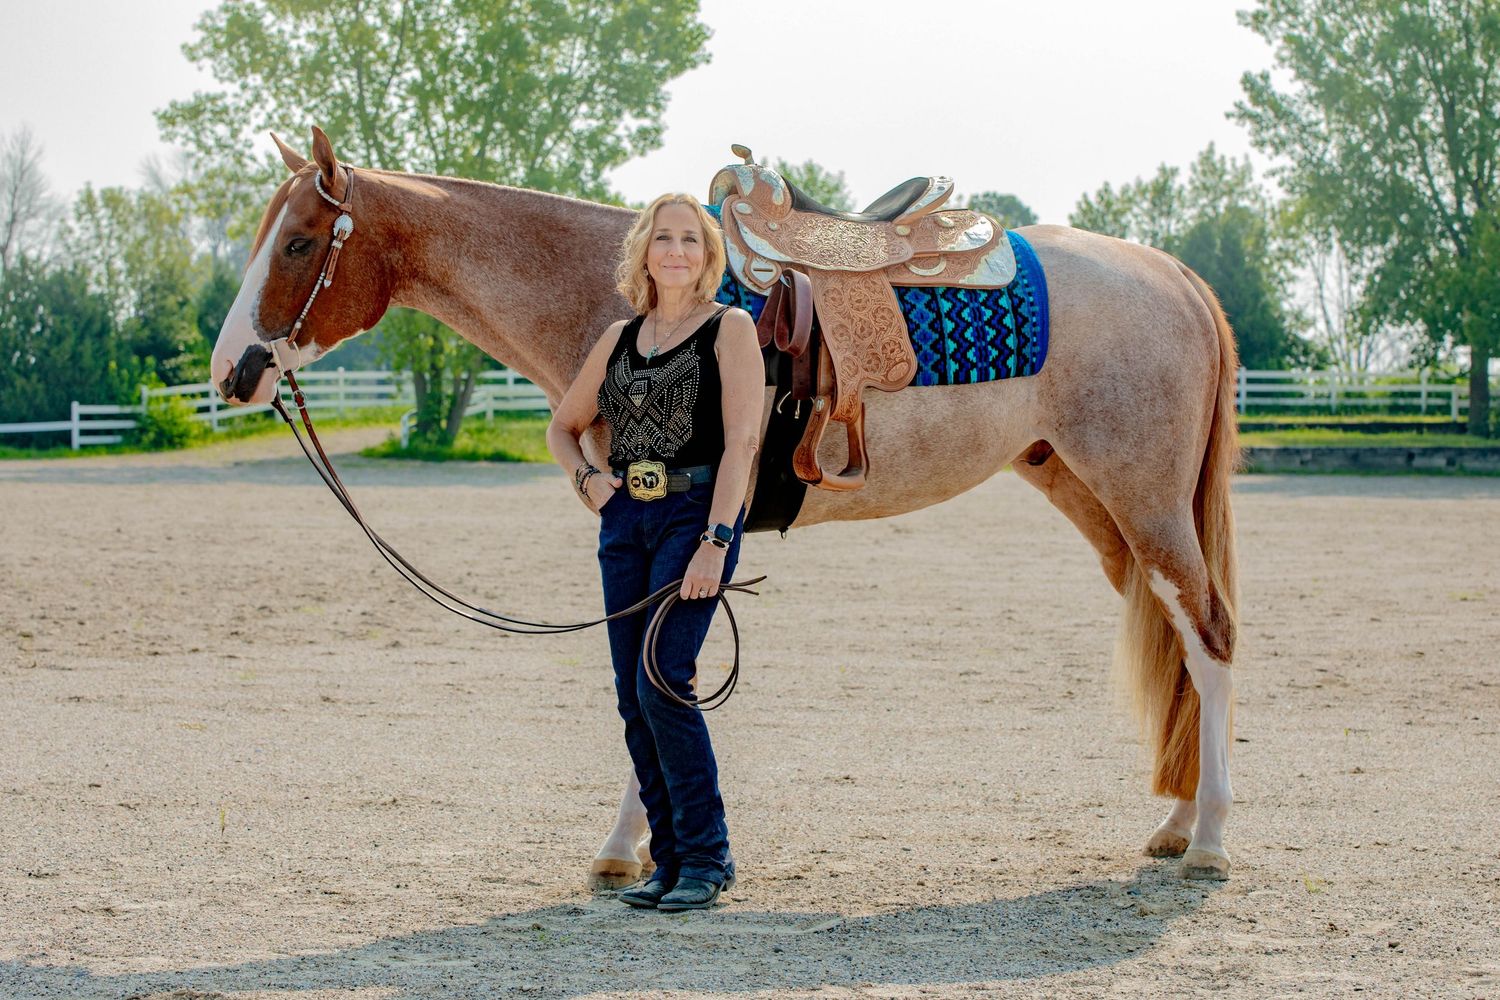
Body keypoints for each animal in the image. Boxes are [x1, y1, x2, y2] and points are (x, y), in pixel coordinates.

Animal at [211, 127, 1240, 882]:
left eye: (299, 241)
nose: (234, 372)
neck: (605, 287)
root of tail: (1176, 276)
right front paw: (637, 849)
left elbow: (656, 668)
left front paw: (630, 848)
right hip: (1100, 504)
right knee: (1177, 636)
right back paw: (1178, 821)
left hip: (1143, 499)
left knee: (1210, 636)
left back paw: (1212, 841)